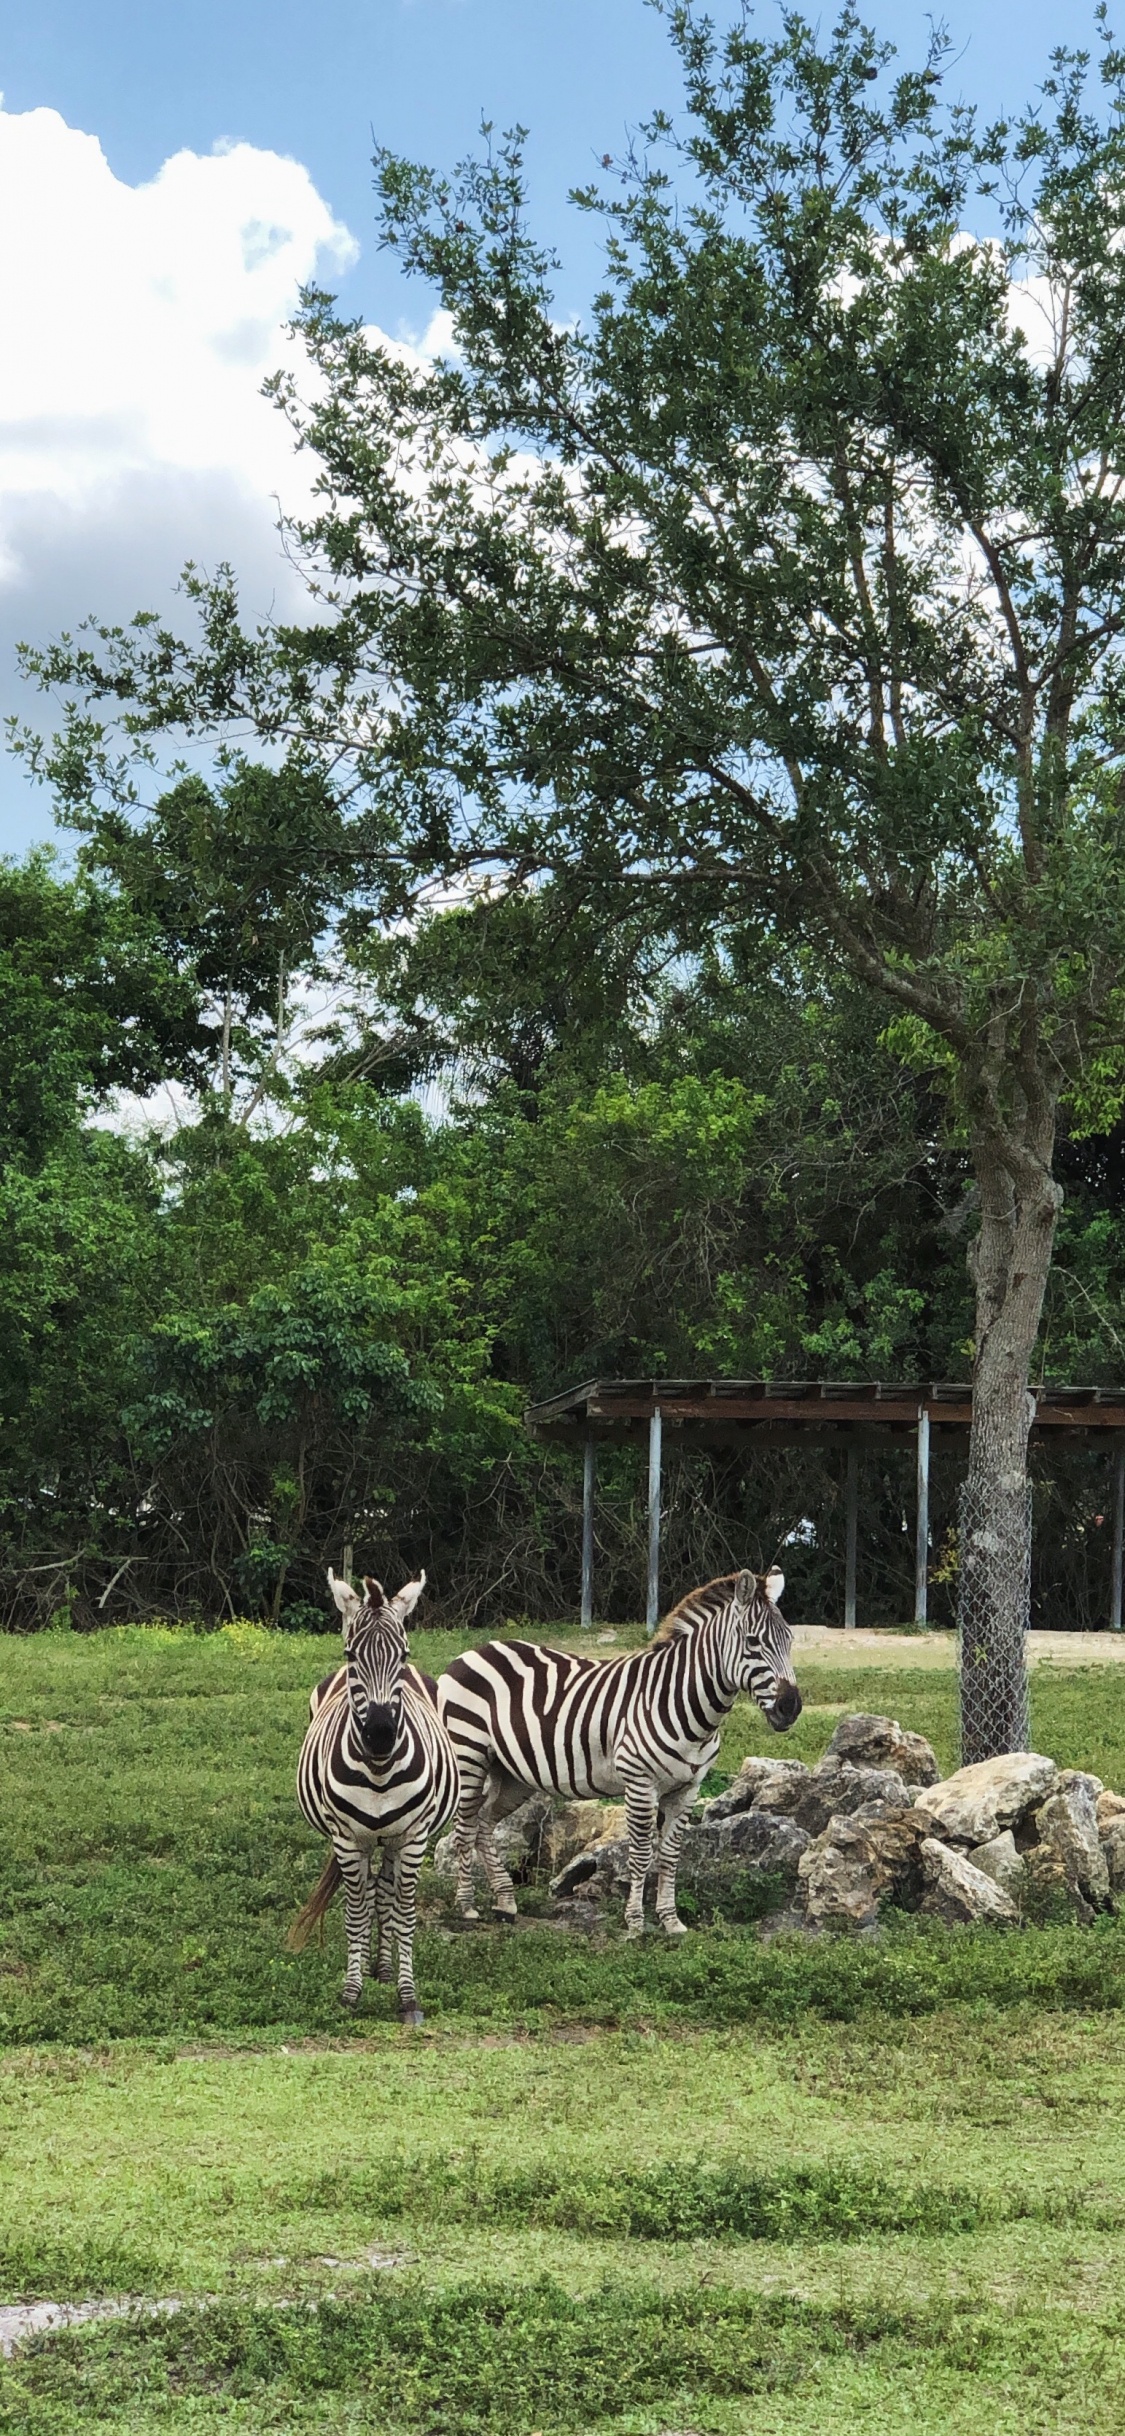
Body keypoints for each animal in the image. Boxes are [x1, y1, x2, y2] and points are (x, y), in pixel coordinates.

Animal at [285, 1568, 459, 2025]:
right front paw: (351, 1991)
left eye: (403, 1654)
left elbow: (404, 1910)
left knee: (384, 1891)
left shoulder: (414, 1838)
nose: (380, 1736)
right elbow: (355, 1910)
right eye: (351, 1656)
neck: (379, 1771)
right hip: (361, 1841)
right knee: (367, 1893)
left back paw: (382, 1966)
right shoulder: (347, 1840)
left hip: (396, 1840)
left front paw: (407, 1995)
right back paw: (367, 1964)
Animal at [437, 1568, 800, 1938]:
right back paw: (467, 1906)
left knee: (483, 1823)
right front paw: (636, 1924)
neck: (684, 1703)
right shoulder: (640, 1782)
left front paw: (671, 1921)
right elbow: (640, 1854)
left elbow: (670, 1855)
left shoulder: (687, 1789)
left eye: (789, 1641)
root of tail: (474, 1651)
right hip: (469, 1756)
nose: (790, 1708)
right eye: (753, 1642)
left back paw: (505, 1902)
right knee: (464, 1827)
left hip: (513, 1774)